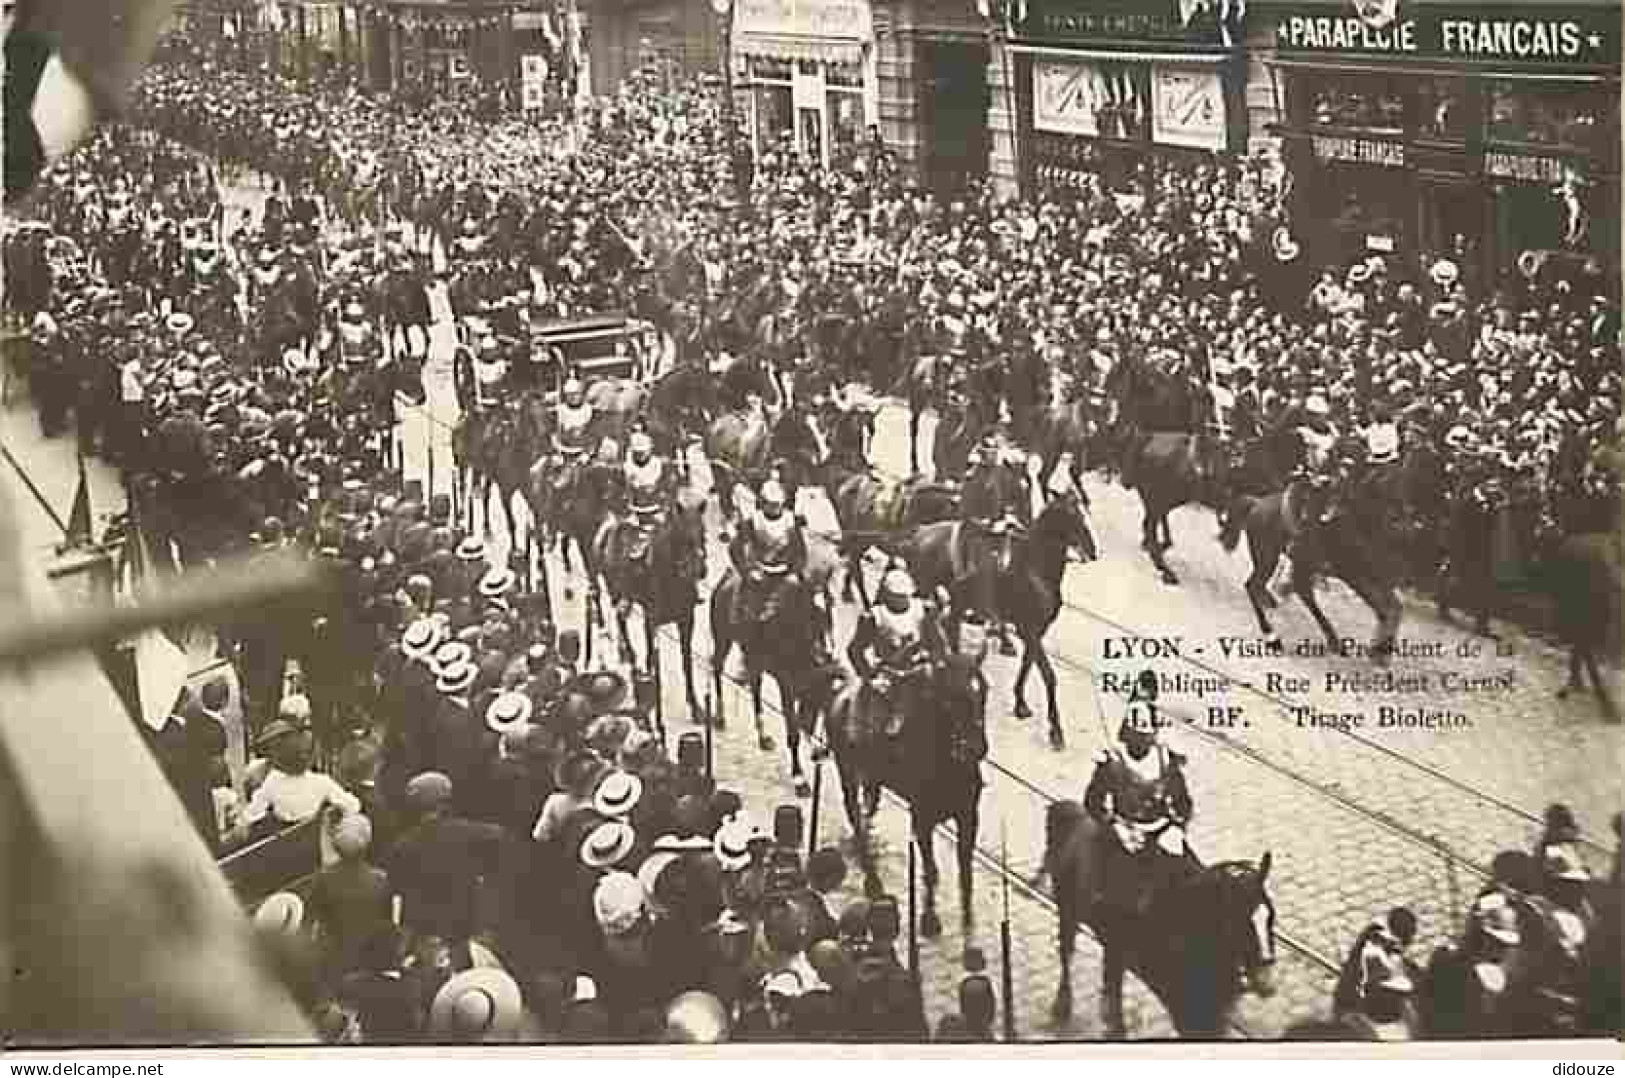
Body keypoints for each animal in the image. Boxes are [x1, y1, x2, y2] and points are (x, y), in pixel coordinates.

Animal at [588, 491, 708, 734]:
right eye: (682, 536)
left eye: (703, 533)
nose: (699, 570)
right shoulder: (652, 621)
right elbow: (653, 659)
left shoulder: (686, 621)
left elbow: (686, 662)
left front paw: (695, 707)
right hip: (616, 591)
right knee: (620, 618)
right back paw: (628, 653)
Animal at [832, 653, 981, 949]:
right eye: (948, 698)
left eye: (983, 690)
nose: (976, 747)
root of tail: (842, 695)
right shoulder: (921, 819)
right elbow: (931, 870)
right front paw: (930, 921)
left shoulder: (969, 816)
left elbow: (965, 872)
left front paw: (968, 925)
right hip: (847, 770)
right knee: (854, 812)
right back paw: (872, 878)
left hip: (872, 778)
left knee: (867, 808)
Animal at [903, 491, 1105, 751]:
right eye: (1071, 514)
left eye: (1085, 511)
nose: (1092, 551)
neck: (1034, 569)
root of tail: (920, 533)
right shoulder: (1028, 629)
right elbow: (1048, 674)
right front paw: (1056, 731)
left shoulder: (1036, 631)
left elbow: (1027, 665)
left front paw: (1020, 703)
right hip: (931, 592)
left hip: (957, 601)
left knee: (950, 626)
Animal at [1040, 799, 1280, 1040]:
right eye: (1234, 918)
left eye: (1270, 918)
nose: (1266, 982)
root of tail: (1064, 808)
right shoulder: (1185, 1005)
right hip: (1067, 910)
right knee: (1067, 954)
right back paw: (1063, 1007)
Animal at [1222, 481, 1404, 666]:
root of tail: (1257, 503)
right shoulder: (1352, 573)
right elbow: (1388, 605)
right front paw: (1379, 652)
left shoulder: (1371, 574)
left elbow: (1393, 606)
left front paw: (1380, 653)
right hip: (1269, 559)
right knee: (1254, 586)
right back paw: (1273, 638)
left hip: (1294, 563)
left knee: (1295, 591)